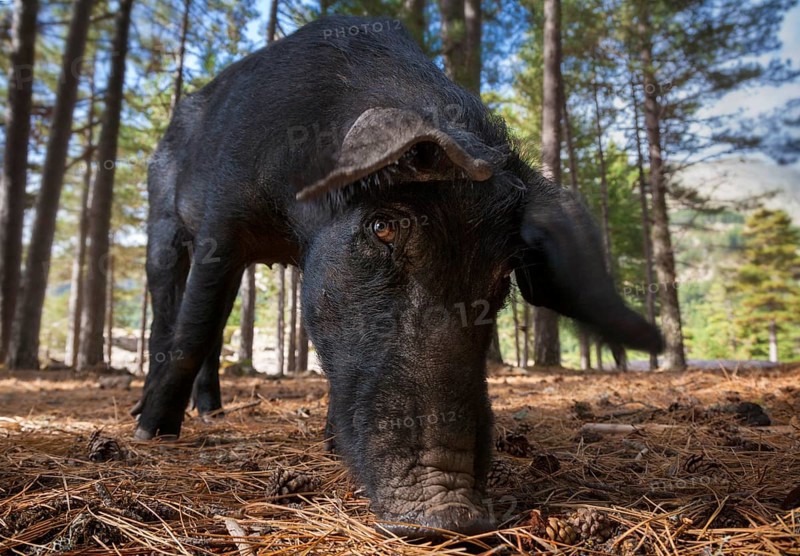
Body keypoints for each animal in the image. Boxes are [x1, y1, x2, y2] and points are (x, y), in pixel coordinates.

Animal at [133, 15, 663, 539]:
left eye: (501, 276)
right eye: (382, 226)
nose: (450, 514)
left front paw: (330, 444)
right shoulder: (223, 222)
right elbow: (193, 330)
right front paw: (153, 435)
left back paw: (213, 413)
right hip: (161, 218)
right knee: (170, 313)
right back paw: (148, 419)